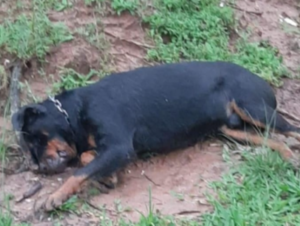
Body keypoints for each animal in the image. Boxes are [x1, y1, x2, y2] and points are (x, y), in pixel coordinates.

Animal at [11, 61, 300, 211]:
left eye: (36, 138)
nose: (38, 168)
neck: (76, 111)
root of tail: (263, 82)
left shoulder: (119, 146)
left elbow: (78, 172)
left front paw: (54, 197)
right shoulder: (110, 150)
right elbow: (85, 159)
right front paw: (107, 178)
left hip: (255, 110)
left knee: (291, 131)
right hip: (231, 129)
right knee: (274, 140)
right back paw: (288, 156)